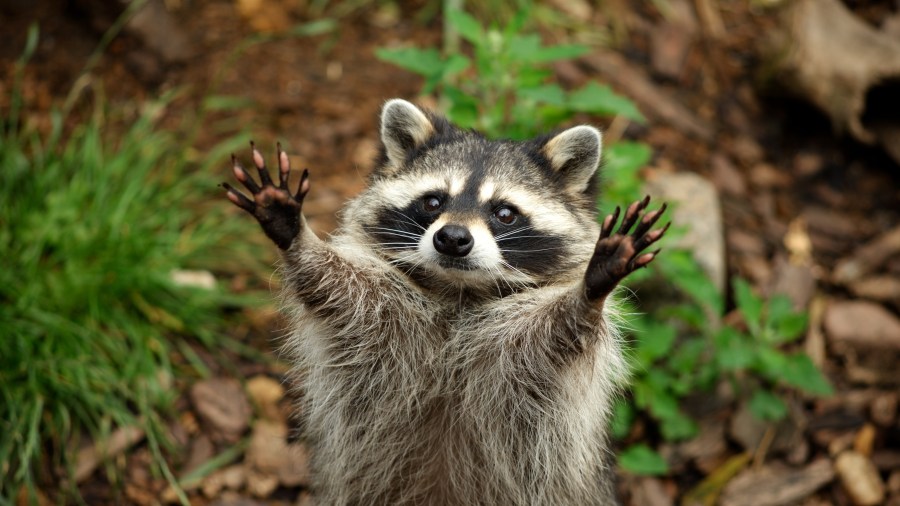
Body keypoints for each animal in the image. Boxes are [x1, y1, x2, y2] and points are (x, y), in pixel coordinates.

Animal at [223, 99, 668, 505]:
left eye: (504, 213)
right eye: (433, 201)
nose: (452, 238)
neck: (459, 291)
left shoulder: (526, 355)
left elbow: (559, 334)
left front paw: (590, 292)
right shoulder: (382, 313)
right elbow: (336, 289)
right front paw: (298, 239)